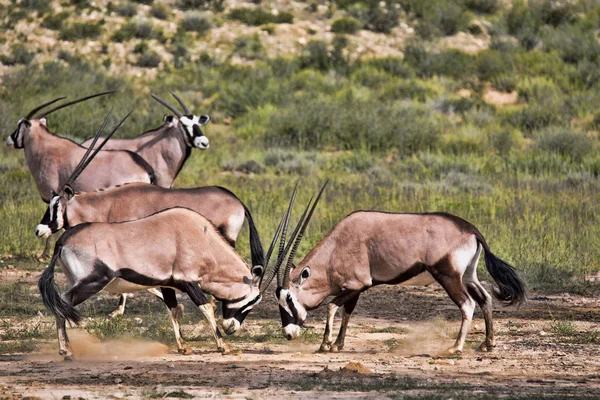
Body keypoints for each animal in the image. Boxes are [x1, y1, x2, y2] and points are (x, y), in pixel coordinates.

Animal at [34, 182, 264, 322]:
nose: (39, 230)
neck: (110, 204)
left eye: (56, 206)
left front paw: (118, 310)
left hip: (225, 239)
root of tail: (237, 201)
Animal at [274, 208, 528, 354]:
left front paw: (325, 345)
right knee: (485, 299)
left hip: (448, 276)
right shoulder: (355, 288)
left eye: (289, 298)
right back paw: (487, 344)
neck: (337, 246)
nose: (288, 334)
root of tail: (472, 230)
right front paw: (338, 344)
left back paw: (455, 347)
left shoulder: (357, 284)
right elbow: (346, 312)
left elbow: (332, 306)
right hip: (468, 276)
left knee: (467, 304)